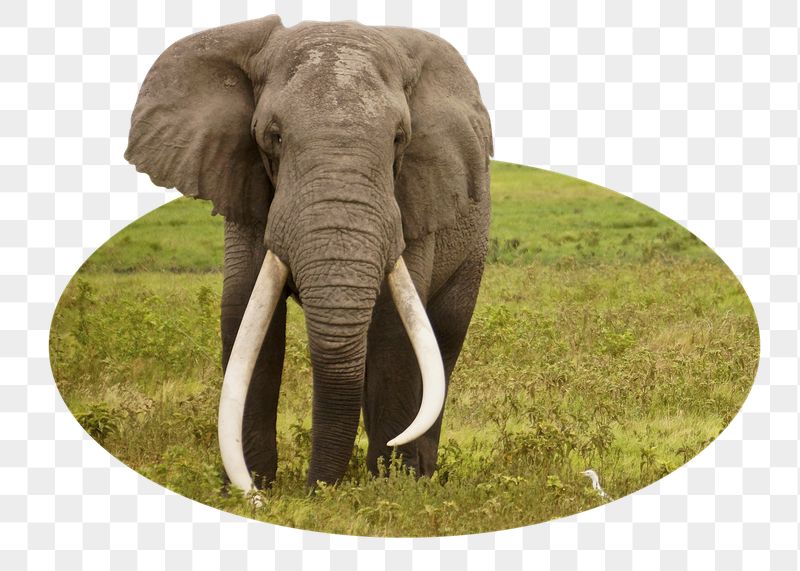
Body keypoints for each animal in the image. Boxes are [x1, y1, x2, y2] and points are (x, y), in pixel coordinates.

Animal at [125, 15, 492, 492]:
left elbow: (394, 330)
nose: (315, 491)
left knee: (442, 339)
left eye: (399, 139)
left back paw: (420, 476)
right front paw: (245, 490)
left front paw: (390, 490)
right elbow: (245, 318)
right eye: (273, 137)